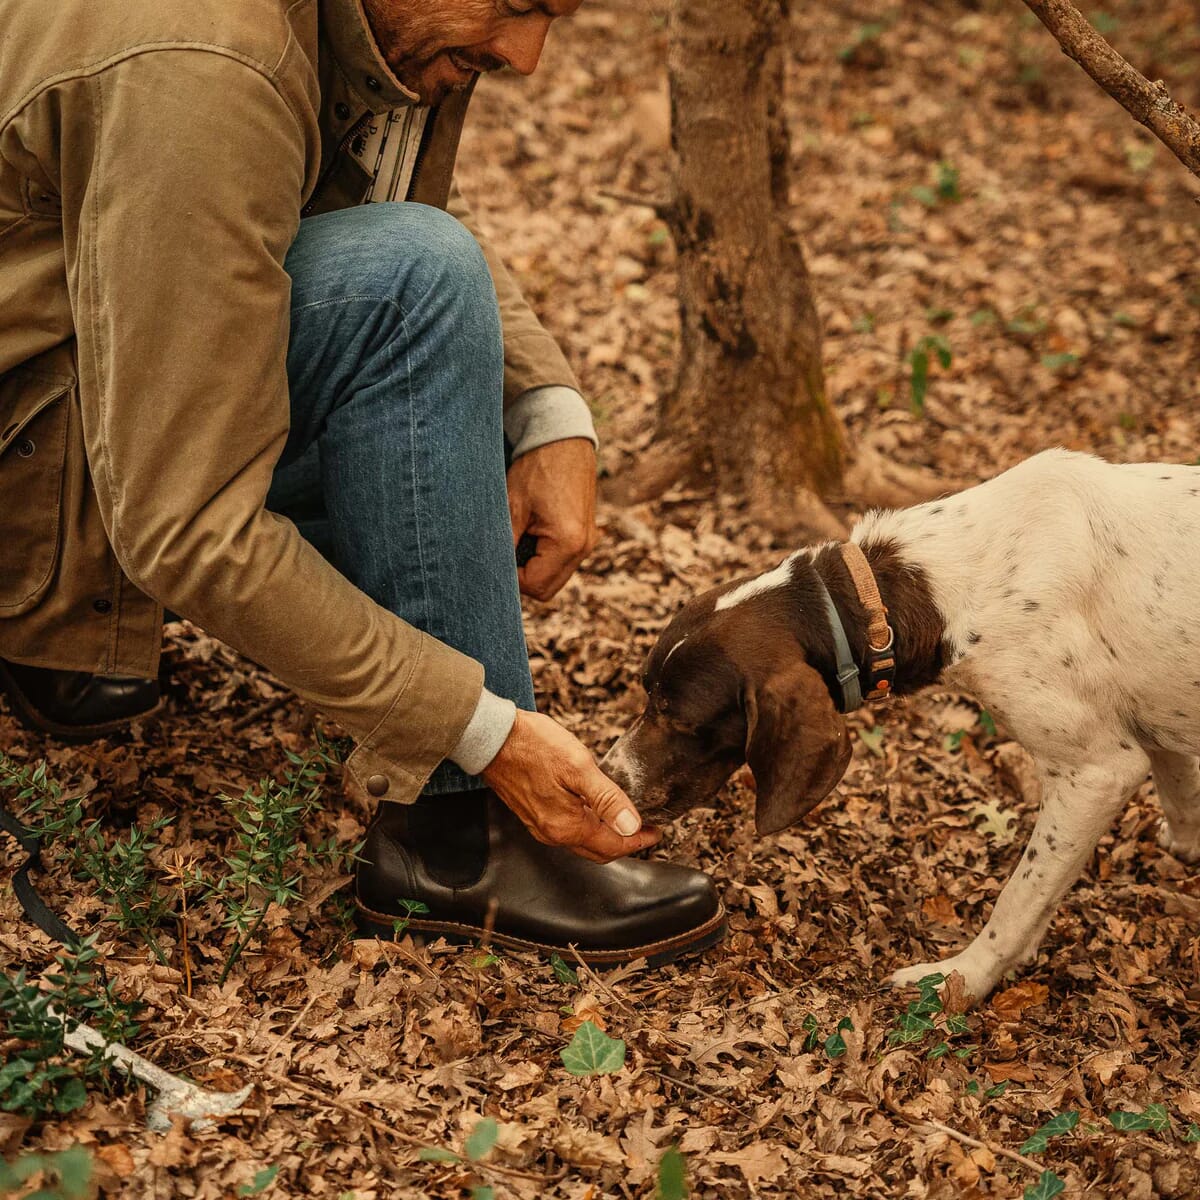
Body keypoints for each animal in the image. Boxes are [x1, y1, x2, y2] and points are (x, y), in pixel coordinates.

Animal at [604, 446, 1200, 998]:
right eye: (646, 692)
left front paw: (962, 978)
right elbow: (1181, 793)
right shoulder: (1158, 721)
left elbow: (1019, 898)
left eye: (679, 717)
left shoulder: (1097, 772)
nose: (610, 777)